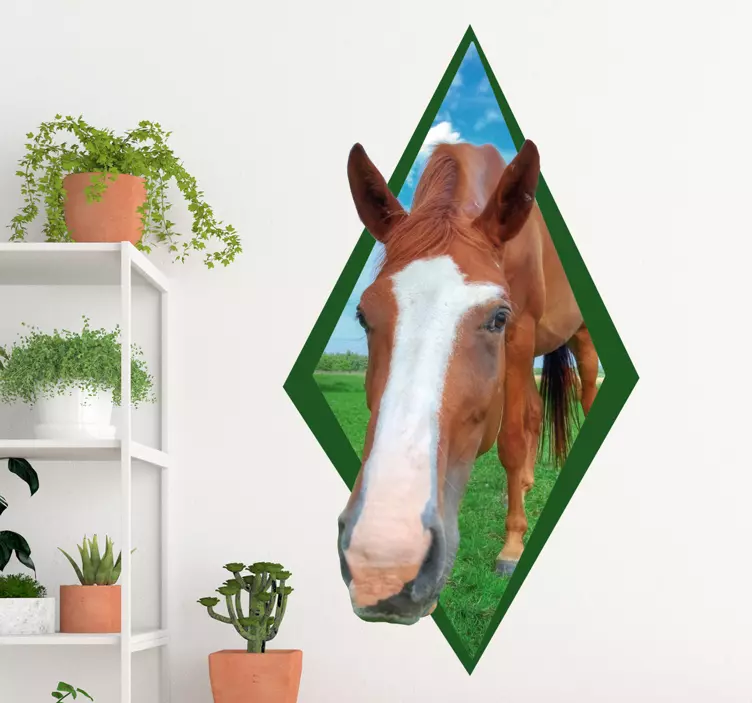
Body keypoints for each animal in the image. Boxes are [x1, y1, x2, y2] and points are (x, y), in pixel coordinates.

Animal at [336, 139, 599, 625]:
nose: (383, 561)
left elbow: (511, 439)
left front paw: (512, 547)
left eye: (497, 317)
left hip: (579, 338)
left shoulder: (520, 333)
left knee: (583, 391)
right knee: (534, 410)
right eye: (363, 315)